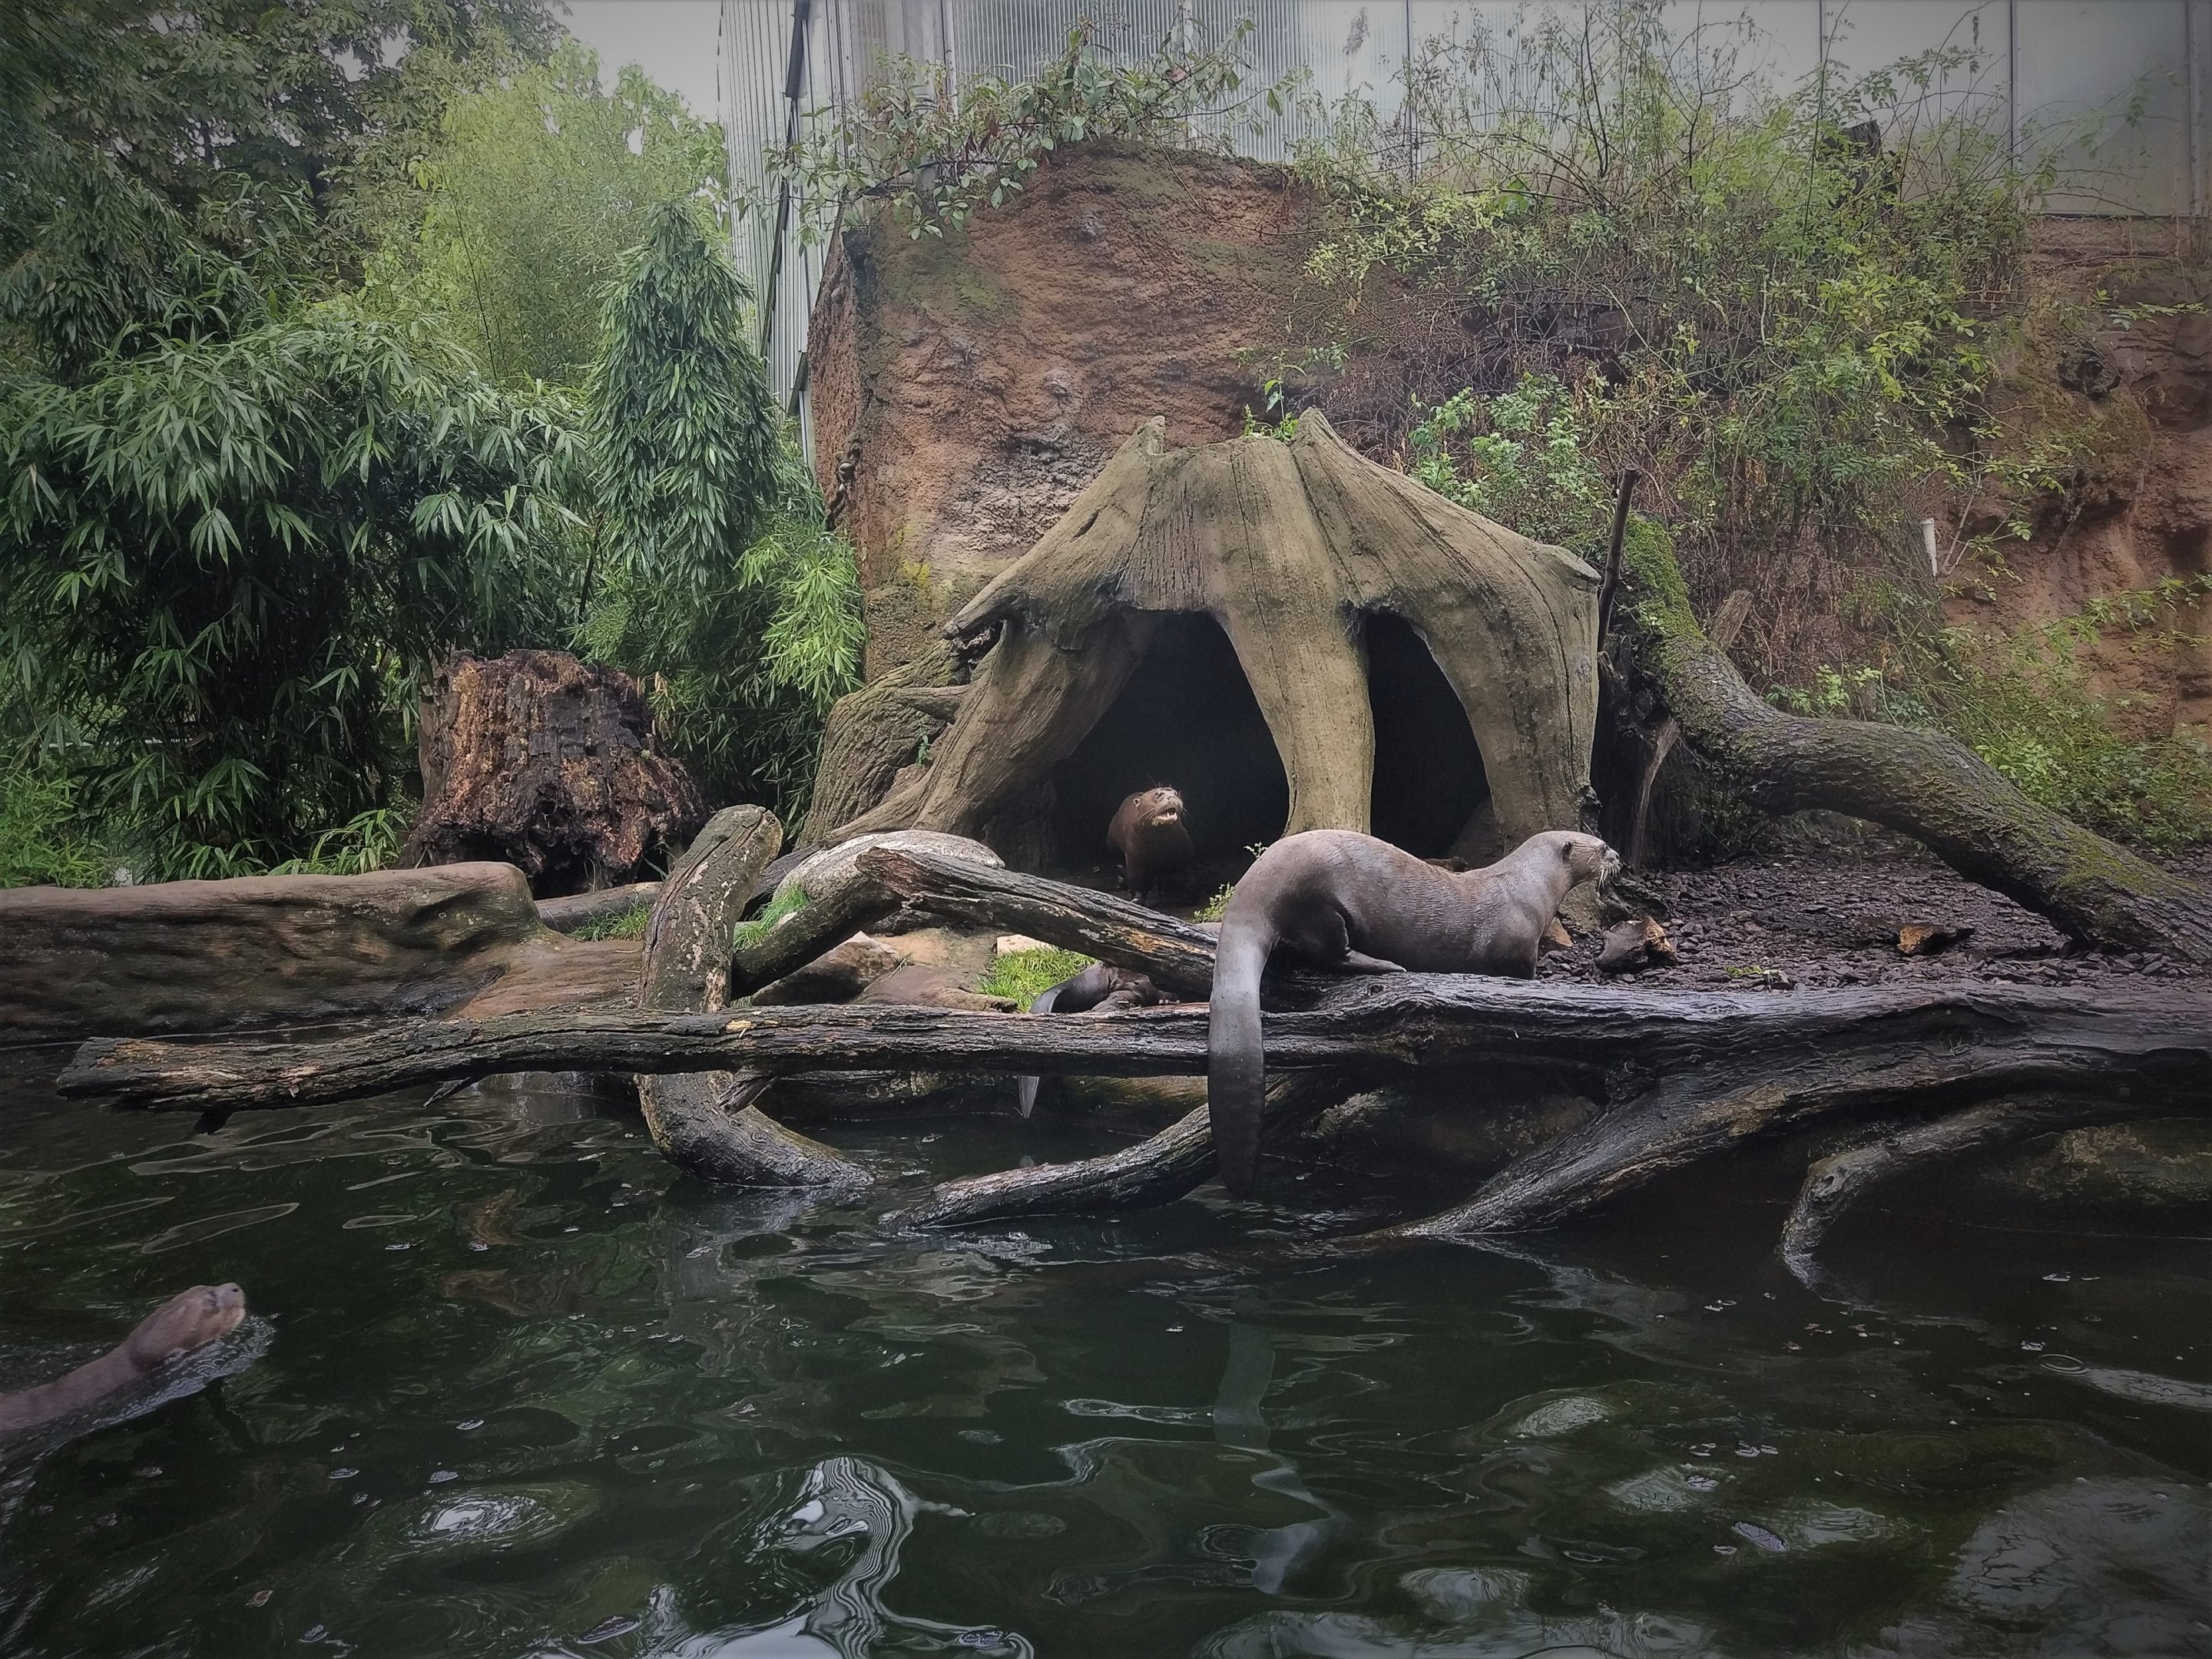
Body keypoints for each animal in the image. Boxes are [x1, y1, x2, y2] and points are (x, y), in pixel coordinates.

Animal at [1107, 787, 1195, 906]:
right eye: (1158, 794)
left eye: (1176, 793)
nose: (1172, 796)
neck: (1157, 848)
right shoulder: (1134, 856)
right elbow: (1136, 879)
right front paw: (1137, 900)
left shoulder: (1186, 851)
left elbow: (1191, 874)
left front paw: (1191, 896)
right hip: (1112, 844)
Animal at [1208, 829, 1618, 1197]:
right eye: (1601, 845)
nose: (1618, 857)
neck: (1529, 886)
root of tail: (1258, 884)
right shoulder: (1518, 946)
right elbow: (1520, 971)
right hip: (1318, 901)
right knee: (1331, 951)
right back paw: (1386, 965)